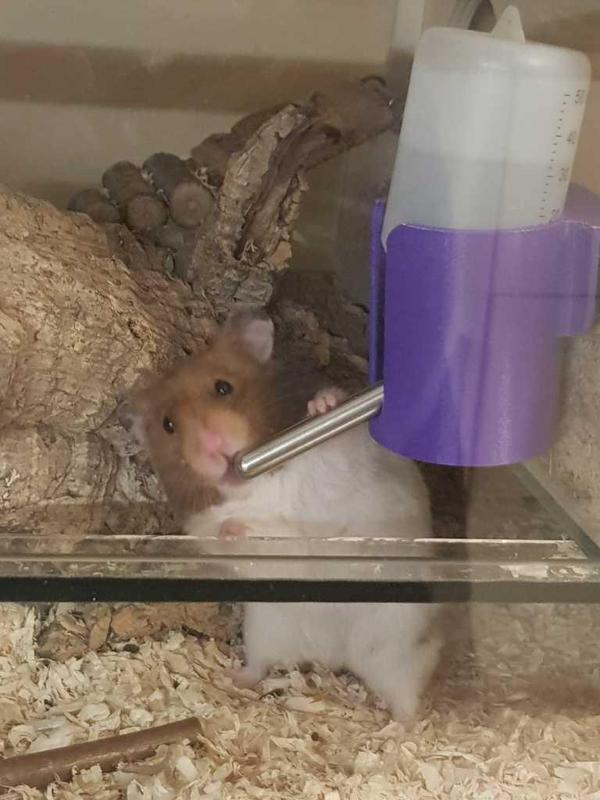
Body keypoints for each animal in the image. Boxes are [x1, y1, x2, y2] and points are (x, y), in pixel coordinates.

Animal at [127, 308, 441, 720]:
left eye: (223, 388)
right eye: (168, 425)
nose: (211, 445)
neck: (259, 487)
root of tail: (332, 656)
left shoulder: (350, 457)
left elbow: (334, 436)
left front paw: (323, 407)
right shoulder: (209, 531)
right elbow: (236, 538)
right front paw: (232, 528)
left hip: (399, 642)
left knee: (406, 696)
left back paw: (400, 727)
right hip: (264, 629)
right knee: (260, 664)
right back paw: (233, 679)